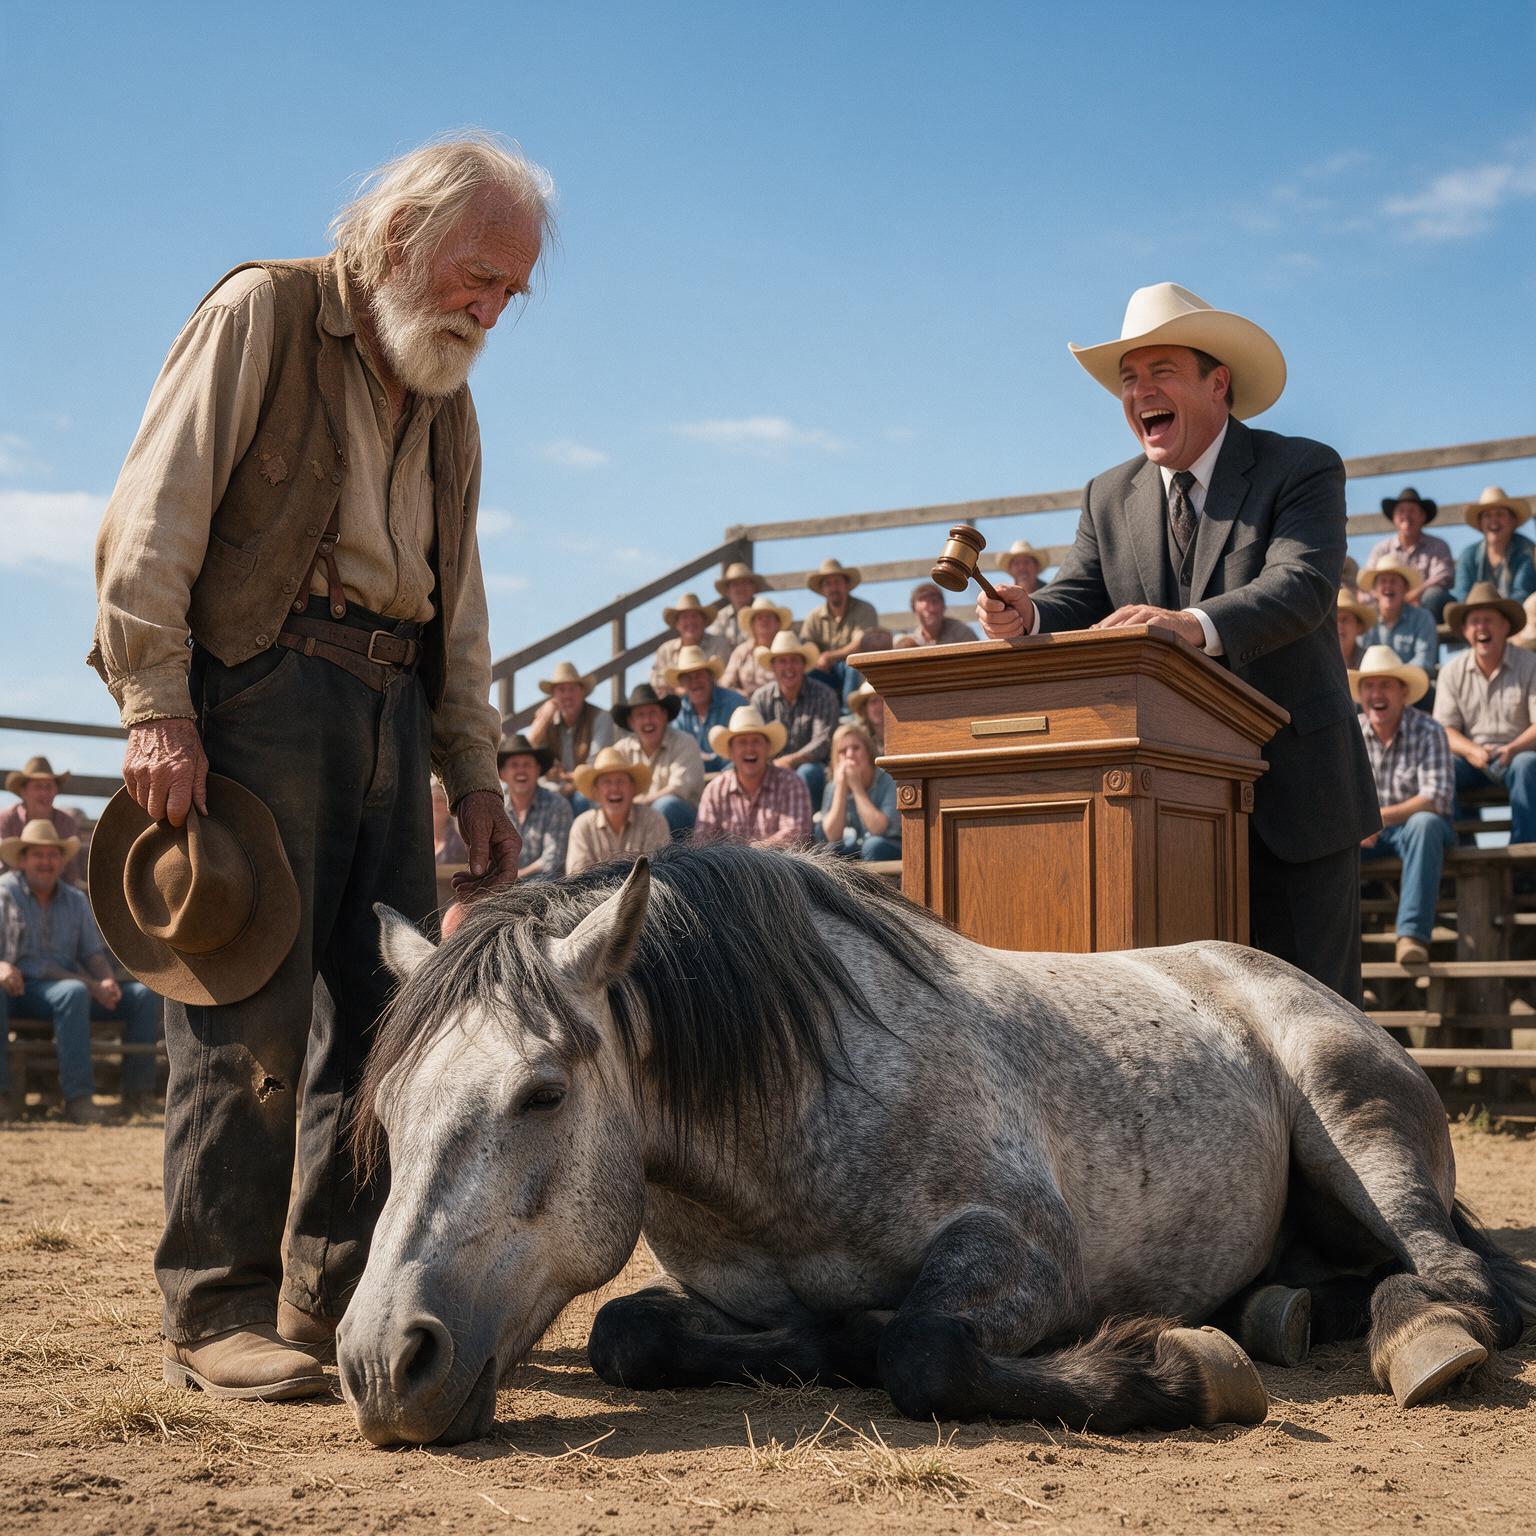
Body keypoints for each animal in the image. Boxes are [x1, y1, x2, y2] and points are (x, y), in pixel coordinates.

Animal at [336, 843, 1534, 1447]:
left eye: (540, 1094)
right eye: (388, 1112)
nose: (383, 1363)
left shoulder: (1024, 1257)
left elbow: (920, 1350)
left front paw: (1174, 1369)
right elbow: (626, 1332)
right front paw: (822, 1342)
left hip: (1351, 1124)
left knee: (1452, 1276)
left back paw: (1415, 1339)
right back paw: (1278, 1313)